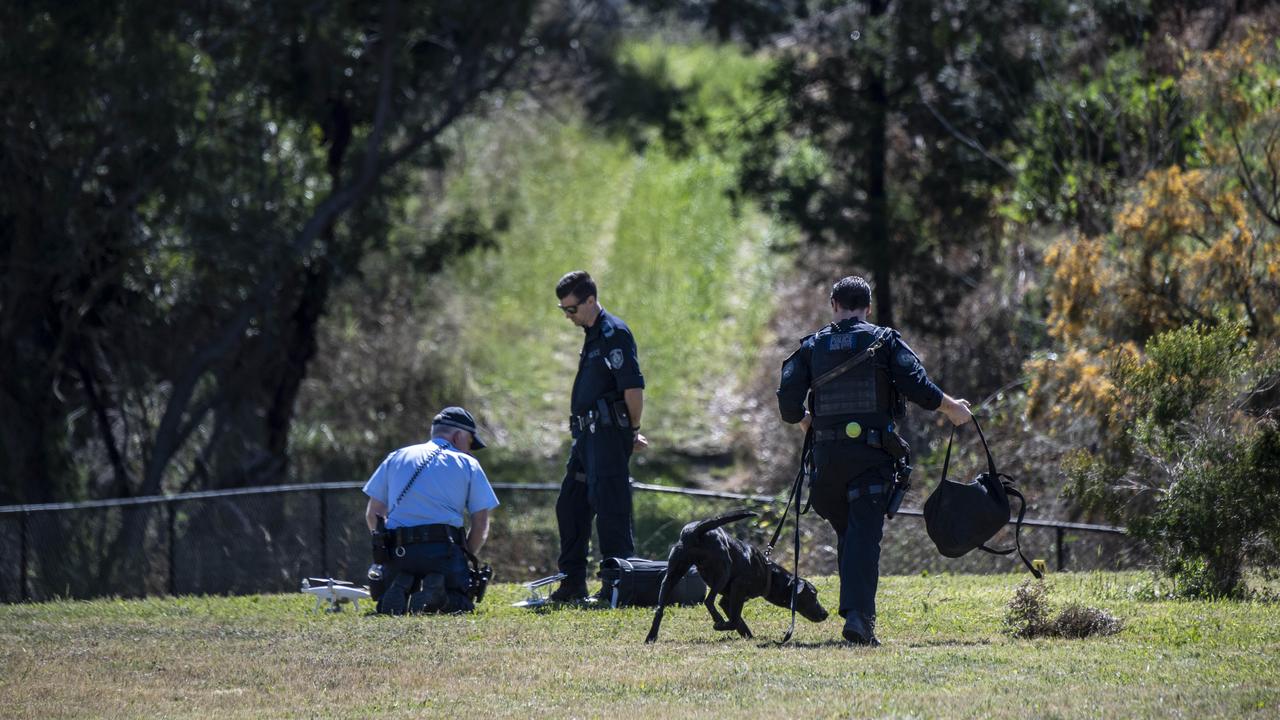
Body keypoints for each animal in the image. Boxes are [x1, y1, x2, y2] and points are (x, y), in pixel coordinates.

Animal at [640, 507, 829, 640]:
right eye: (813, 594)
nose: (825, 613)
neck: (769, 574)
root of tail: (695, 530)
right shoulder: (737, 589)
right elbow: (734, 619)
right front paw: (722, 626)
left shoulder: (729, 599)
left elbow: (737, 620)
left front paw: (748, 637)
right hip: (723, 571)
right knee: (708, 600)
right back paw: (717, 620)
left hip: (671, 575)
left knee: (659, 609)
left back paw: (651, 637)